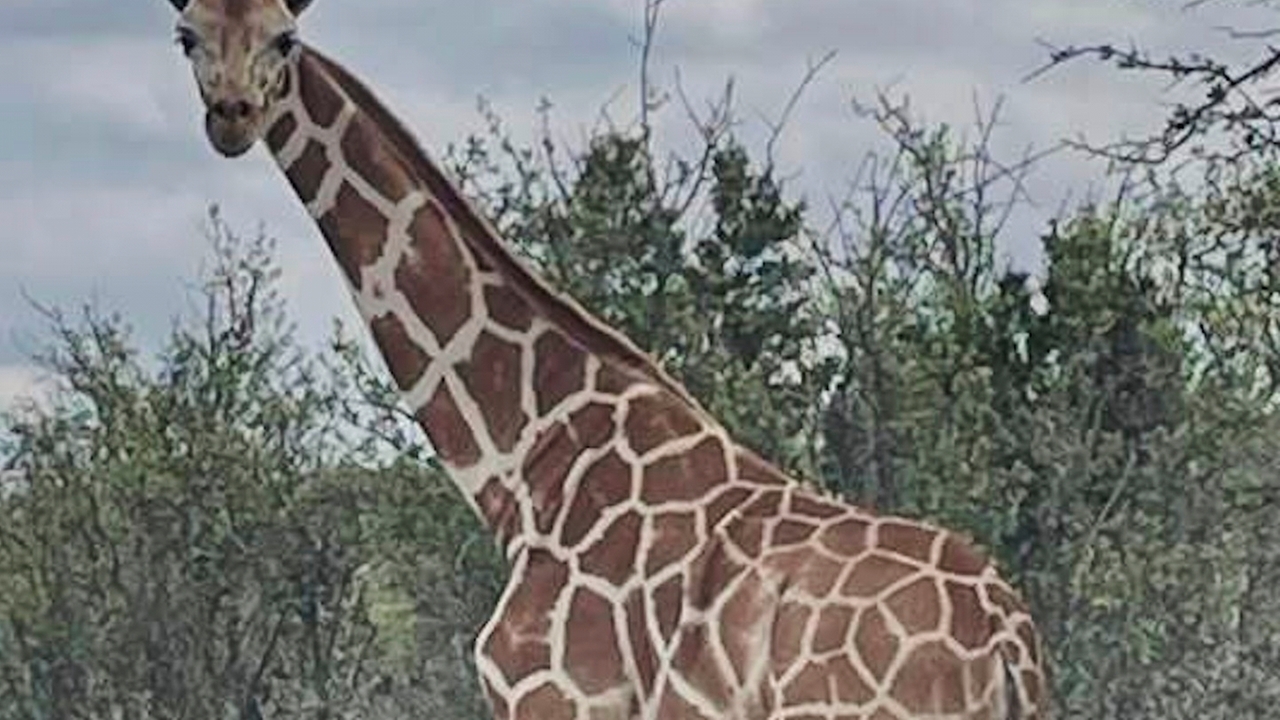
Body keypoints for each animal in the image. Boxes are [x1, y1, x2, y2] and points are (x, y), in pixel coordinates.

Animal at [160, 1, 1050, 718]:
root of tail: (1008, 642)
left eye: (285, 38)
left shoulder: (553, 696)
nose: (232, 115)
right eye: (187, 34)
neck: (528, 460)